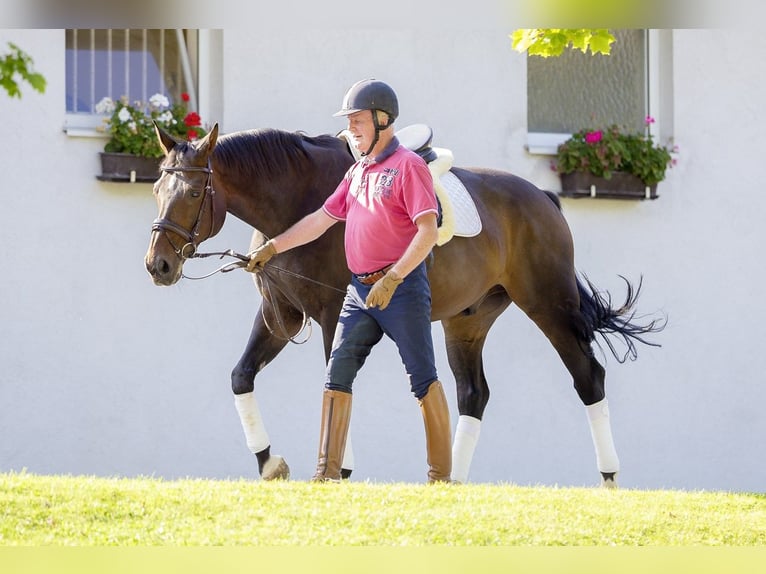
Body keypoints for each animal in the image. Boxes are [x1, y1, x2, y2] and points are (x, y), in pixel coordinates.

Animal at [146, 124, 664, 488]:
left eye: (193, 192)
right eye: (156, 190)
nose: (159, 265)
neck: (297, 200)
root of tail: (544, 198)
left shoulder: (333, 314)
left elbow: (334, 379)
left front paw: (340, 469)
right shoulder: (281, 316)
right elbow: (242, 377)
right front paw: (270, 462)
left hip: (549, 306)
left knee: (588, 378)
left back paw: (609, 478)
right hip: (466, 322)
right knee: (473, 394)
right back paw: (452, 481)